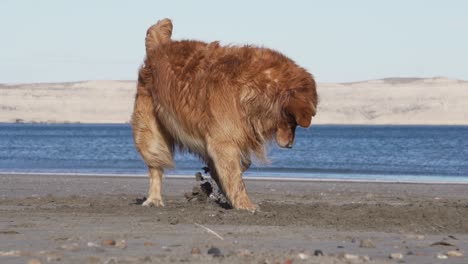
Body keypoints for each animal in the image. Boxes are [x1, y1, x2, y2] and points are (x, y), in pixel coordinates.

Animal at [131, 18, 318, 211]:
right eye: (293, 121)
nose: (290, 145)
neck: (254, 87)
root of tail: (158, 48)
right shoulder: (224, 140)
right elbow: (235, 177)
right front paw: (244, 204)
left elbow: (238, 165)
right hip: (150, 134)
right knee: (155, 167)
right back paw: (154, 198)